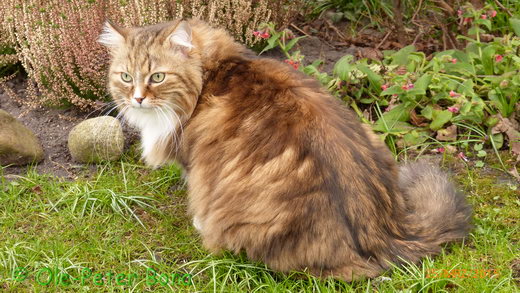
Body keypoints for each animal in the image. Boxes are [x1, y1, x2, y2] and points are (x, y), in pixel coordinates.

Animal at [97, 19, 472, 280]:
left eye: (157, 77)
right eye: (126, 77)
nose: (137, 98)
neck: (212, 73)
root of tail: (388, 233)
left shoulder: (196, 164)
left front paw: (198, 222)